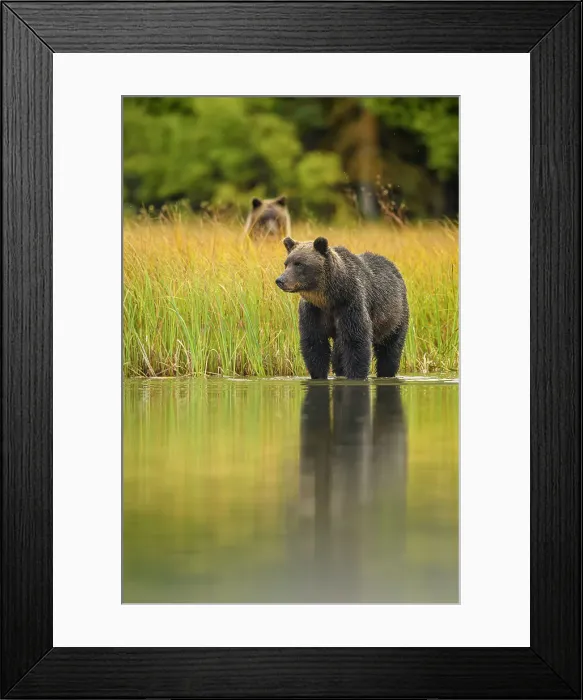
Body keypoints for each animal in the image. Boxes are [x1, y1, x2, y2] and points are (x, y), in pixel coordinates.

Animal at [275, 236, 409, 380]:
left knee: (390, 350)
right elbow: (314, 343)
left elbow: (355, 341)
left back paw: (387, 372)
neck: (330, 298)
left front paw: (356, 375)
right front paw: (318, 374)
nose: (280, 280)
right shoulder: (313, 310)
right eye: (286, 263)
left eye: (299, 264)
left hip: (395, 316)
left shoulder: (350, 303)